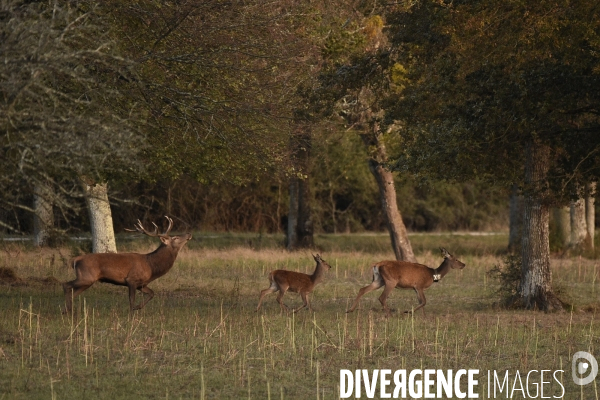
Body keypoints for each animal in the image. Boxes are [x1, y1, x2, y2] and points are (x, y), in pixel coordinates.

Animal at [61, 216, 191, 312]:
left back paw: (67, 310)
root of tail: (75, 259)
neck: (151, 266)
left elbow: (152, 293)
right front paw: (132, 313)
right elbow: (131, 300)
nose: (189, 234)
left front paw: (138, 307)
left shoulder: (142, 284)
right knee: (66, 285)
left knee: (72, 292)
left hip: (87, 281)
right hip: (86, 277)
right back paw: (68, 311)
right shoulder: (131, 279)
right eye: (175, 237)